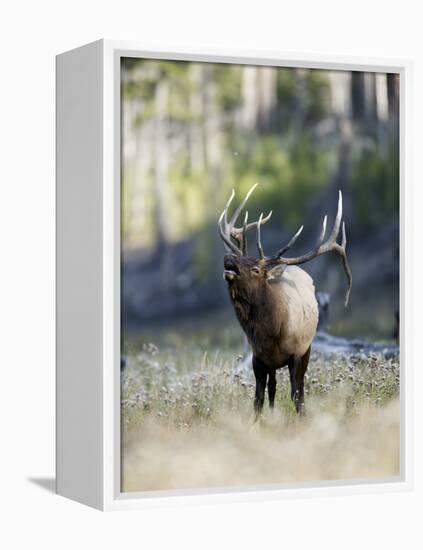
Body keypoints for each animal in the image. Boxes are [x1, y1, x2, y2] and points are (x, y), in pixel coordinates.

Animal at [217, 185, 352, 418]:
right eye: (241, 258)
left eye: (256, 269)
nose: (229, 258)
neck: (272, 331)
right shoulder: (259, 357)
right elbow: (258, 398)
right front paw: (257, 423)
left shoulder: (296, 353)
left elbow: (296, 394)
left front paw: (301, 419)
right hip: (272, 364)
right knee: (272, 388)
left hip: (307, 349)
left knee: (299, 388)